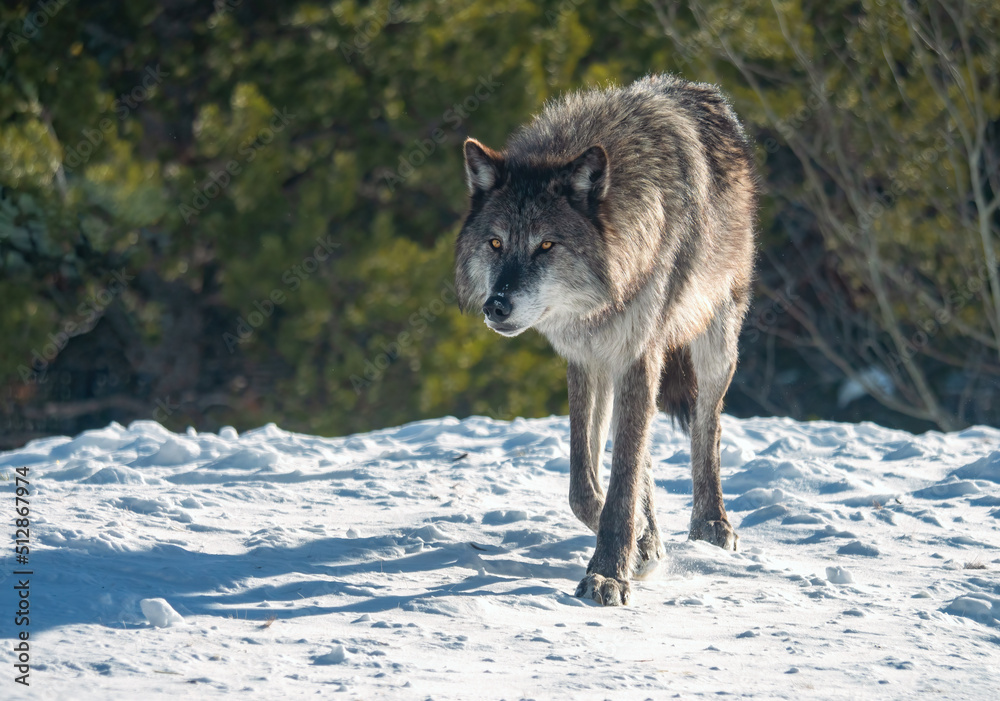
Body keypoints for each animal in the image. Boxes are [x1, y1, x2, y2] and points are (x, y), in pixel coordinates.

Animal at [455, 75, 756, 606]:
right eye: (495, 243)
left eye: (546, 245)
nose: (497, 306)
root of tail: (703, 90)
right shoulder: (586, 358)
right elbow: (586, 483)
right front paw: (641, 545)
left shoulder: (637, 354)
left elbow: (623, 480)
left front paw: (608, 573)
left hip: (716, 345)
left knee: (707, 429)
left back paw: (712, 524)